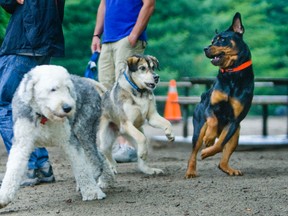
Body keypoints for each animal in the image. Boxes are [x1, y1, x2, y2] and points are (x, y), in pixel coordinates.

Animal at [186, 11, 253, 178]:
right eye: (212, 40)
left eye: (222, 39)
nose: (205, 48)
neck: (232, 75)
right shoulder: (210, 107)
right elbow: (213, 120)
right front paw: (209, 138)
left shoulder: (234, 121)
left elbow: (220, 144)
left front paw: (207, 151)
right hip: (198, 127)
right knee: (193, 152)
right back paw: (190, 171)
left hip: (236, 134)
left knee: (222, 155)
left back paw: (228, 169)